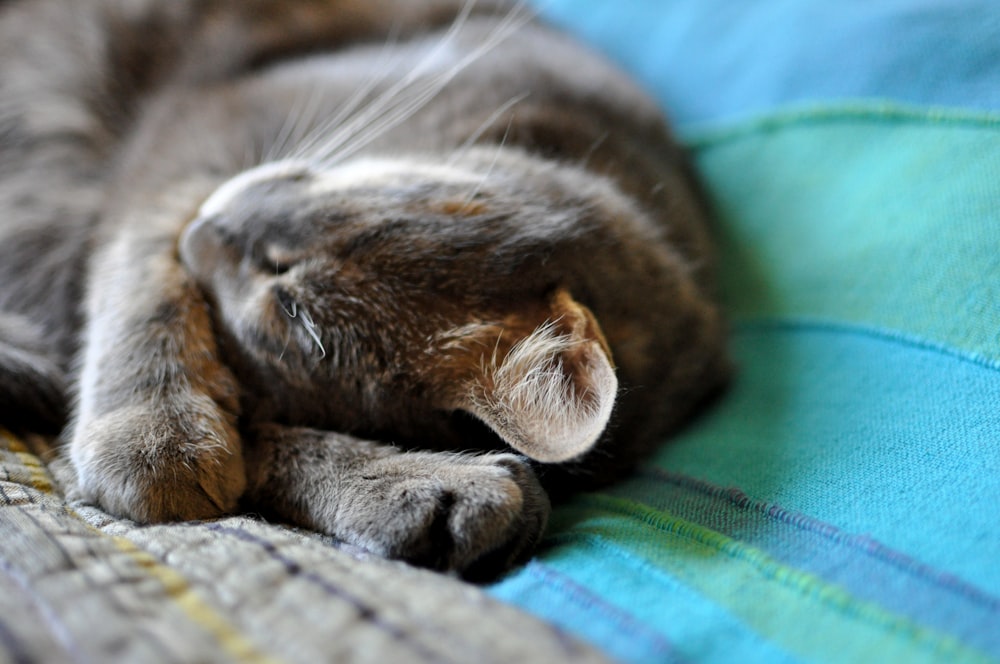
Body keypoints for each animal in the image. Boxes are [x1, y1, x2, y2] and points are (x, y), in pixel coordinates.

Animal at [0, 0, 728, 576]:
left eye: (289, 309)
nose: (210, 231)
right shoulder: (193, 139)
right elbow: (144, 263)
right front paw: (155, 431)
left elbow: (260, 431)